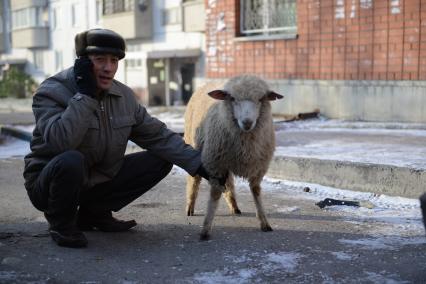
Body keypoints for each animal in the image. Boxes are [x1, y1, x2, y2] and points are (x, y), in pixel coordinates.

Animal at [182, 74, 282, 240]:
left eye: (260, 99)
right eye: (233, 98)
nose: (247, 122)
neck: (245, 143)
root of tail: (207, 84)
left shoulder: (258, 167)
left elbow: (256, 192)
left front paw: (264, 222)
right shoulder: (215, 164)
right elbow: (214, 195)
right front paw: (206, 228)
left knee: (229, 183)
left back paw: (234, 206)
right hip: (194, 143)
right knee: (194, 179)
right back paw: (190, 205)